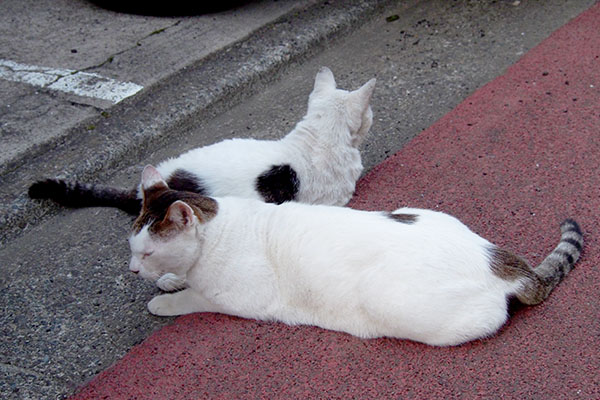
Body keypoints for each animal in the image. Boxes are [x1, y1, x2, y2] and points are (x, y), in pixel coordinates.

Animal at [129, 166, 584, 346]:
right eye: (133, 249)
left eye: (146, 251)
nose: (133, 269)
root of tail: (501, 261)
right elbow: (180, 278)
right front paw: (168, 279)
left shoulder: (232, 298)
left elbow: (191, 298)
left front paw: (162, 299)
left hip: (391, 301)